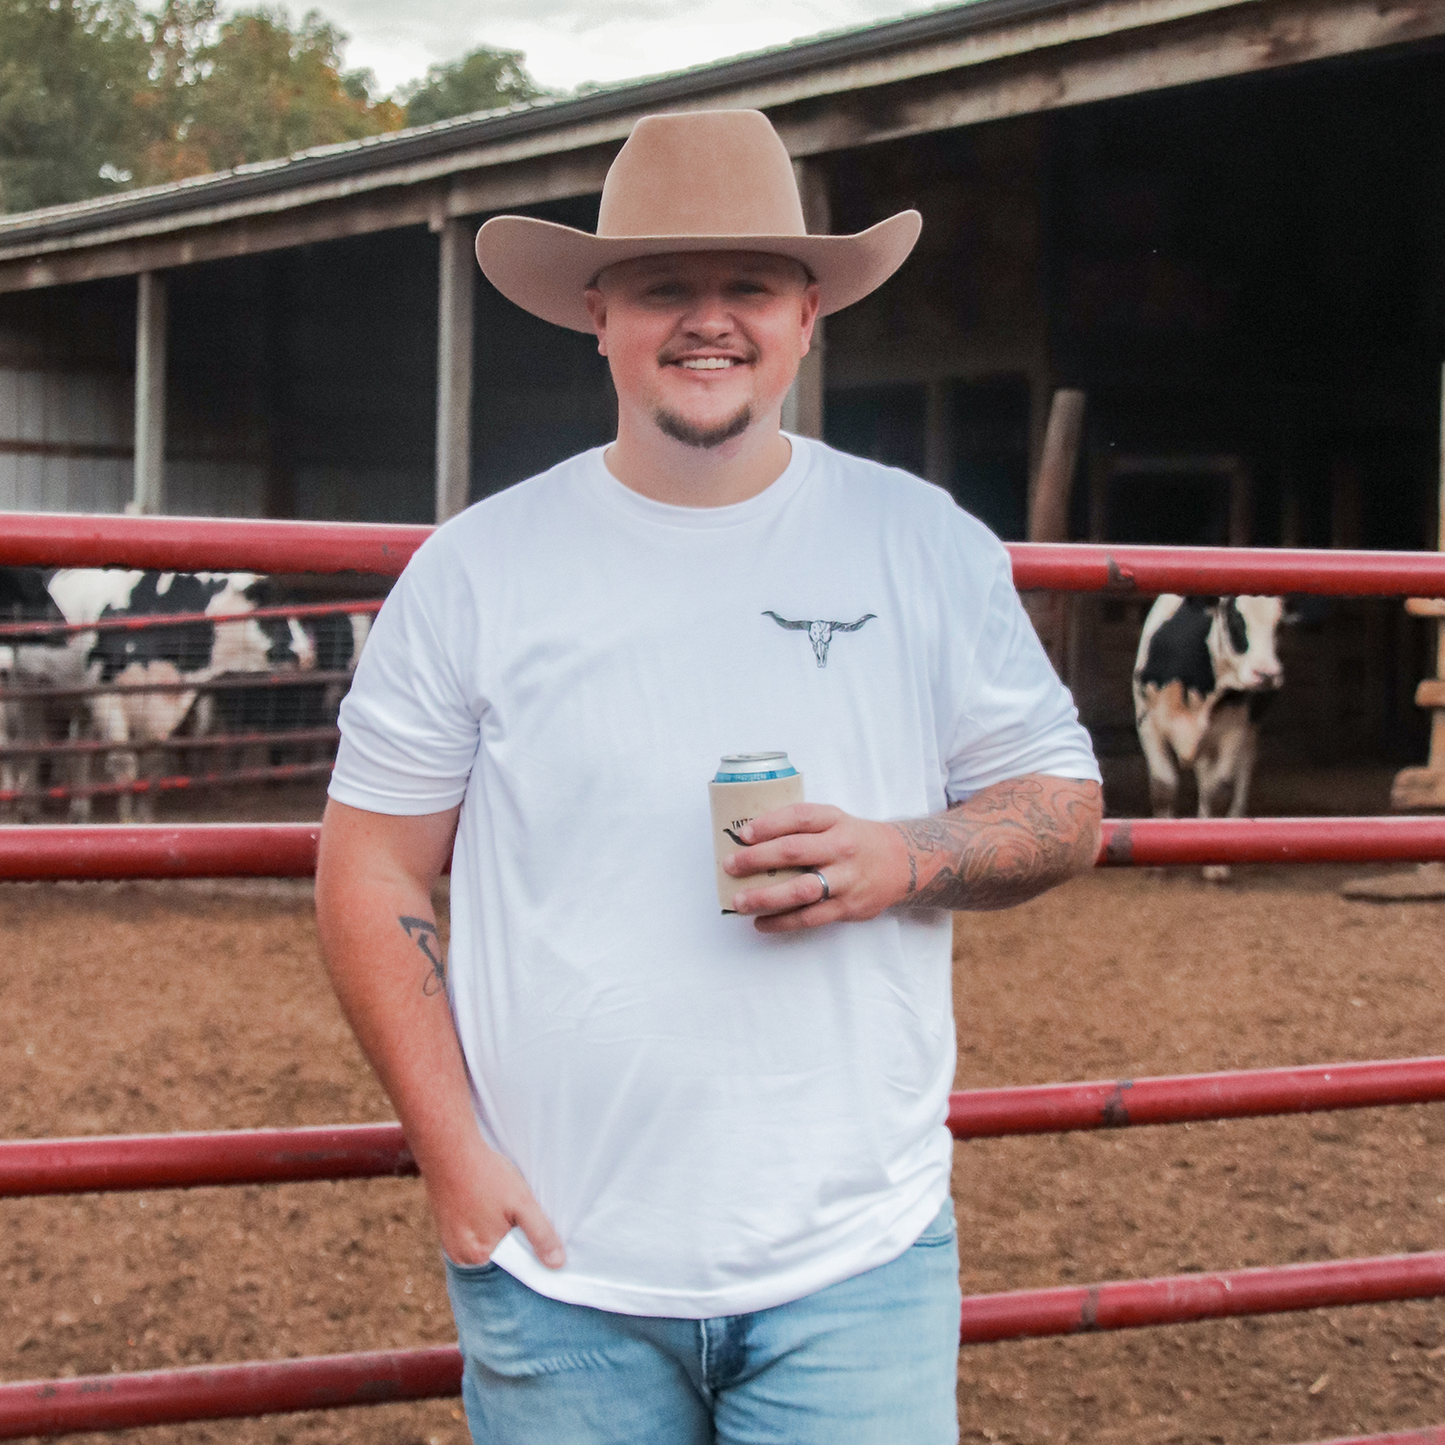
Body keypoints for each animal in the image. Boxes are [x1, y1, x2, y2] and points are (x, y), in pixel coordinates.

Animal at [48, 572, 316, 826]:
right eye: (273, 614)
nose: (308, 655)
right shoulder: (107, 699)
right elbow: (124, 766)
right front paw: (127, 820)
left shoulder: (166, 704)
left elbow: (153, 765)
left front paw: (144, 817)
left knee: (80, 751)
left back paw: (79, 812)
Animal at [1127, 595, 1288, 878]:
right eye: (1235, 617)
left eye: (1279, 622)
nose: (1267, 674)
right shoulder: (1148, 725)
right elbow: (1163, 786)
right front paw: (1157, 862)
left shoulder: (1234, 731)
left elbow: (1220, 791)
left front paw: (1217, 862)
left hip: (1249, 731)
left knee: (1238, 776)